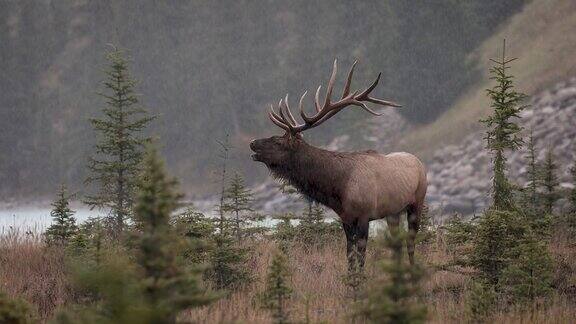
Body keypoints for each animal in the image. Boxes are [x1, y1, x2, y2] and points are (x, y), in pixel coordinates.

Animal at [251, 59, 428, 270]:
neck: (339, 188)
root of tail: (419, 162)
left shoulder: (364, 215)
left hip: (417, 202)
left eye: (278, 142)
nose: (252, 143)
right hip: (393, 212)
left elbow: (361, 257)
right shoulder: (345, 218)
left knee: (410, 241)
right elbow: (349, 256)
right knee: (397, 243)